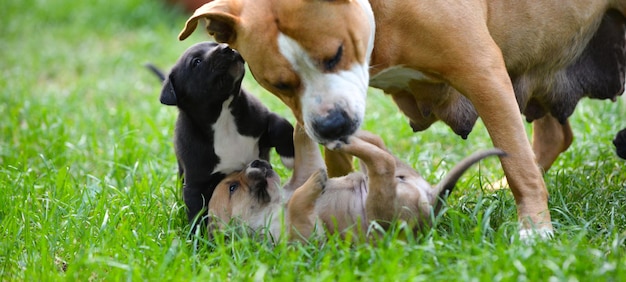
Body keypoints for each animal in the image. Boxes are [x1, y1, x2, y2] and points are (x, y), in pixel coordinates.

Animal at [152, 41, 298, 231]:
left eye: (214, 43)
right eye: (196, 62)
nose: (226, 47)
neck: (223, 116)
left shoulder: (261, 118)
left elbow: (281, 125)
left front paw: (290, 157)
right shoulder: (195, 184)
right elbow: (197, 213)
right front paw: (198, 238)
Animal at [208, 126, 502, 241]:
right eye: (232, 187)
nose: (258, 162)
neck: (275, 202)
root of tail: (432, 198)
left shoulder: (304, 170)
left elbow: (302, 146)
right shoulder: (303, 238)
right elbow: (300, 205)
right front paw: (316, 184)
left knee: (378, 146)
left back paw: (345, 133)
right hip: (379, 210)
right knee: (382, 162)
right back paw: (342, 139)